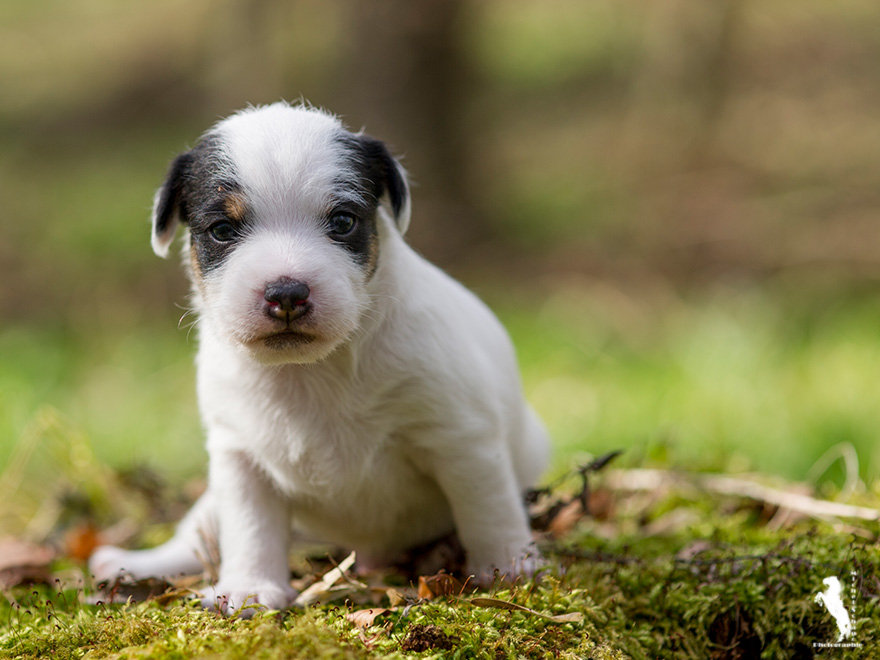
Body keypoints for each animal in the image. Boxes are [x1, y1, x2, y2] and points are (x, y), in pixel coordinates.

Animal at [94, 102, 552, 612]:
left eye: (343, 222)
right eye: (223, 230)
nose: (286, 294)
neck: (310, 371)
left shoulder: (461, 440)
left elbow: (487, 507)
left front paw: (508, 567)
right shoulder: (239, 458)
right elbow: (250, 527)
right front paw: (251, 588)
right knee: (196, 534)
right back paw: (134, 564)